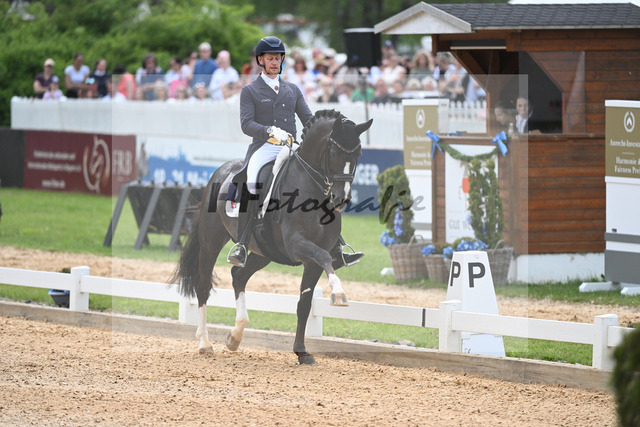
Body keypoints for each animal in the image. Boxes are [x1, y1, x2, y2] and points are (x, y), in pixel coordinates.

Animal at [171, 109, 373, 365]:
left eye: (358, 153)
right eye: (335, 152)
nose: (342, 198)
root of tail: (220, 172)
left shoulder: (311, 260)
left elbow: (305, 303)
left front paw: (302, 351)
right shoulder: (298, 245)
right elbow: (325, 258)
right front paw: (338, 294)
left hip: (262, 252)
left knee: (238, 275)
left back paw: (235, 336)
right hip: (211, 242)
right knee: (203, 284)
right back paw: (205, 343)